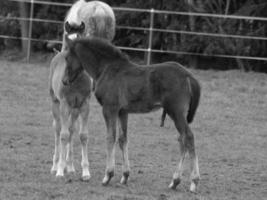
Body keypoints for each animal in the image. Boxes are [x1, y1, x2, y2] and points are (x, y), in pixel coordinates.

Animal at [48, 50, 92, 180]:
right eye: (67, 59)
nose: (64, 80)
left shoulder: (84, 105)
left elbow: (83, 135)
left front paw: (86, 173)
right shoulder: (64, 104)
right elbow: (64, 135)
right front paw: (60, 171)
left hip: (74, 110)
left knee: (72, 129)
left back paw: (71, 167)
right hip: (55, 103)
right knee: (58, 130)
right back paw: (55, 166)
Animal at [62, 36, 201, 193]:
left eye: (67, 58)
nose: (64, 81)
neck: (107, 68)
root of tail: (188, 76)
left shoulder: (109, 109)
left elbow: (110, 138)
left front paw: (108, 176)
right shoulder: (123, 111)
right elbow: (123, 139)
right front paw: (125, 176)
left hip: (176, 112)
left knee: (188, 137)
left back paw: (193, 181)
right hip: (178, 114)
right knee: (182, 140)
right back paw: (175, 181)